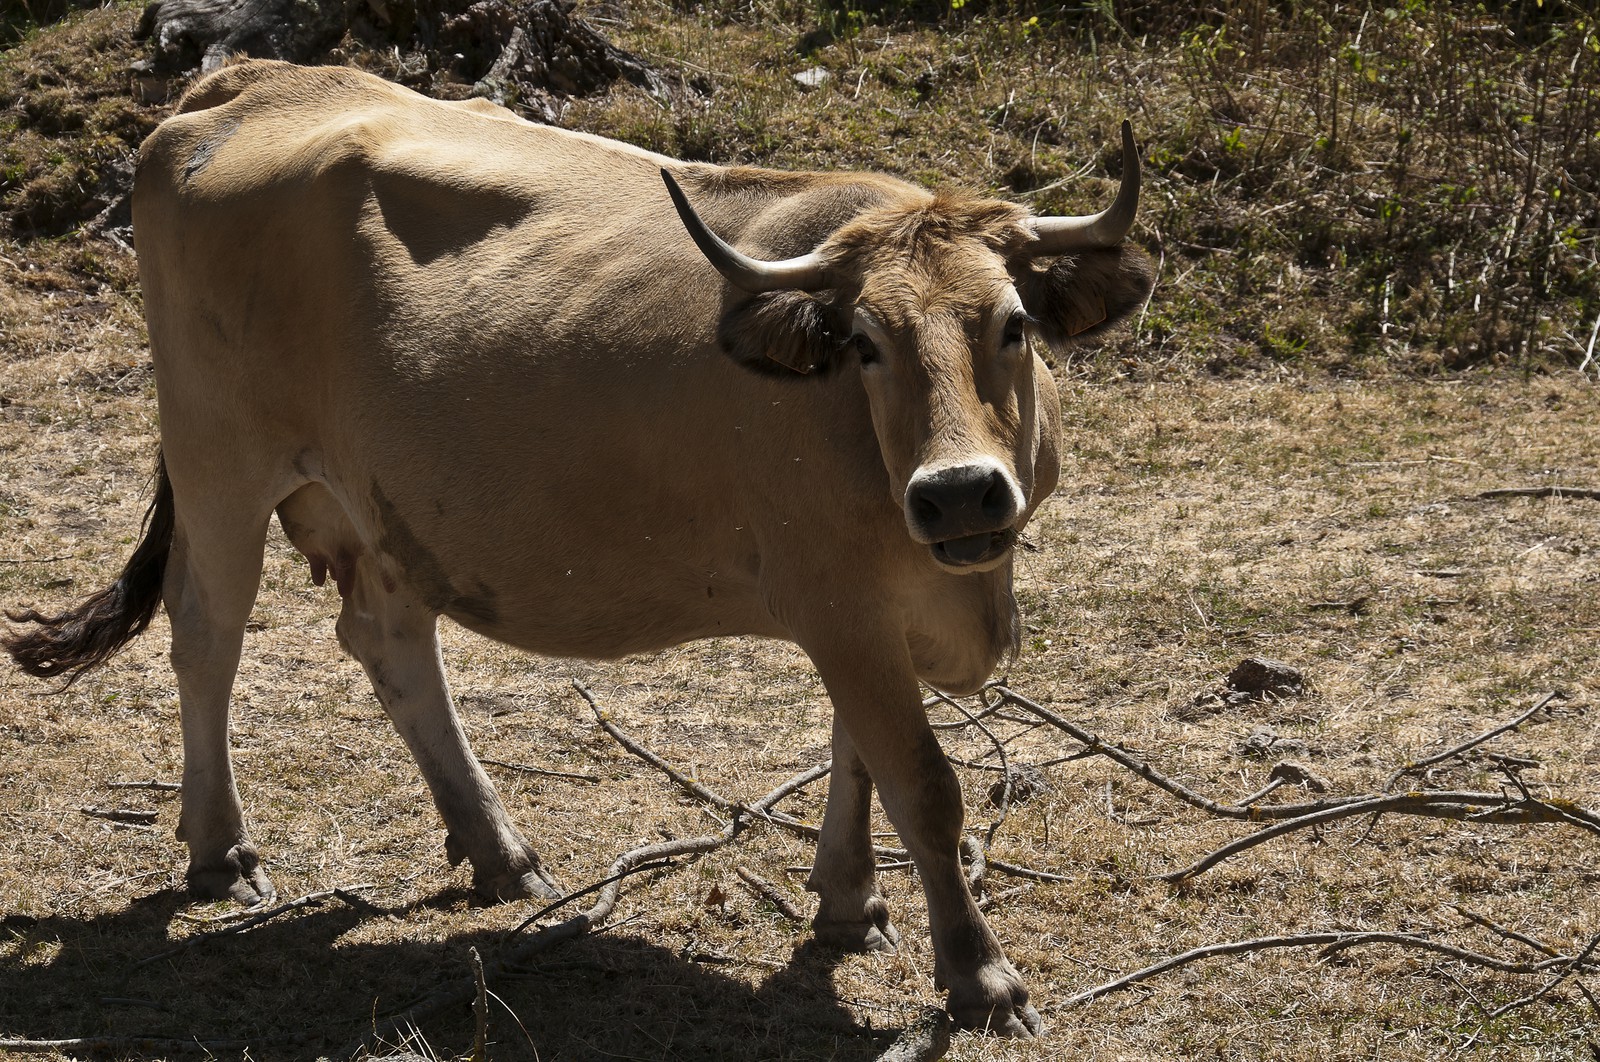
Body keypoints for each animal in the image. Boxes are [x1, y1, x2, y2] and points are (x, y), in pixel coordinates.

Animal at [5, 59, 1154, 1034]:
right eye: (866, 344)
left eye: (1012, 324)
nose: (958, 494)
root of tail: (252, 81)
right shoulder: (837, 600)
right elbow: (920, 781)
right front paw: (980, 978)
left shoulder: (859, 613)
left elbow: (858, 755)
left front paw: (847, 904)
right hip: (221, 461)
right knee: (209, 634)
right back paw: (221, 851)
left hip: (385, 502)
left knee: (389, 642)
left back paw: (498, 851)